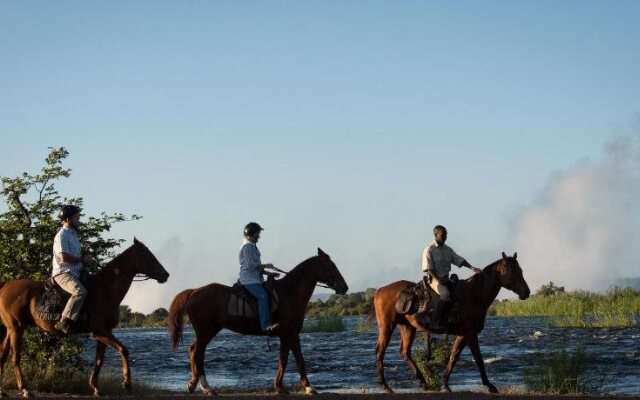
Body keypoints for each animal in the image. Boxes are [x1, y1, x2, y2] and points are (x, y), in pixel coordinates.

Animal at [0, 238, 170, 396]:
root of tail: (6, 284)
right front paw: (126, 384)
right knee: (15, 357)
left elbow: (99, 361)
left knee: (3, 353)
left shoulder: (104, 333)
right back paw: (25, 389)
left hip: (11, 328)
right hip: (16, 328)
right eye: (147, 255)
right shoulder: (99, 331)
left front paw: (96, 388)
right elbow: (124, 350)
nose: (166, 275)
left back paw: (3, 391)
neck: (104, 290)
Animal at [168, 248, 348, 396]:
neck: (290, 293)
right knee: (196, 352)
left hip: (209, 331)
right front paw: (309, 387)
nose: (344, 287)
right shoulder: (292, 333)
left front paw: (279, 387)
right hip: (206, 331)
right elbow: (299, 359)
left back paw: (201, 386)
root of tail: (194, 291)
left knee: (197, 353)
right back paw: (201, 386)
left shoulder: (285, 335)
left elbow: (283, 360)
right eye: (330, 266)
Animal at [372, 252, 528, 392]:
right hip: (387, 326)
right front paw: (490, 386)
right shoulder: (470, 334)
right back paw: (385, 386)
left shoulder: (463, 335)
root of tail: (380, 290)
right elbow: (479, 359)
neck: (475, 294)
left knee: (405, 352)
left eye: (520, 270)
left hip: (408, 327)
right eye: (513, 271)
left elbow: (453, 358)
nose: (526, 292)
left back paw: (424, 383)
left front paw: (446, 384)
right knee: (380, 351)